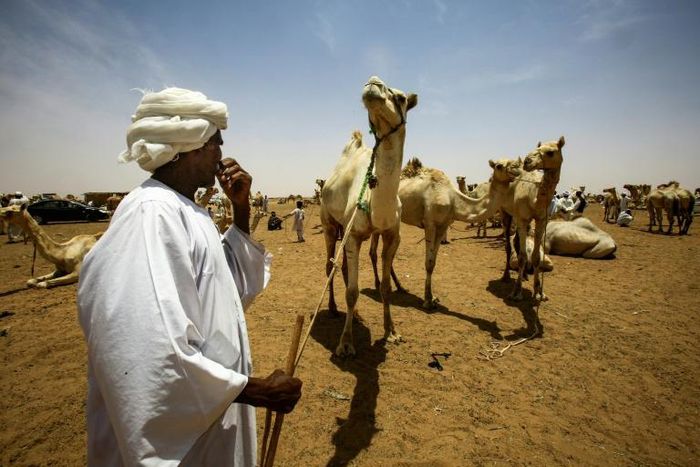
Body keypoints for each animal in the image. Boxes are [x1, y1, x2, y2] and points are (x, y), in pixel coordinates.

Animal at [321, 76, 417, 357]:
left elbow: (385, 287)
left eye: (401, 98)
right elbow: (353, 292)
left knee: (341, 266)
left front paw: (391, 332)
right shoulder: (354, 235)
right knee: (330, 264)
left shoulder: (392, 235)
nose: (373, 83)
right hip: (329, 224)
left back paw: (356, 315)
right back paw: (333, 309)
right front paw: (345, 343)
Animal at [370, 157, 521, 308]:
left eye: (515, 162)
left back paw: (400, 287)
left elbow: (433, 263)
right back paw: (378, 285)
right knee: (374, 252)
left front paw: (432, 298)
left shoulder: (442, 226)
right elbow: (428, 263)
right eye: (499, 166)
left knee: (385, 254)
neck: (453, 199)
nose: (517, 169)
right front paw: (427, 301)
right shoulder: (430, 224)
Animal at [499, 136, 565, 301]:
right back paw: (506, 276)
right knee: (508, 245)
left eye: (550, 152)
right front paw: (516, 293)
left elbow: (535, 257)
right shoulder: (523, 218)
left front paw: (539, 292)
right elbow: (523, 256)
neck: (534, 198)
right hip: (506, 213)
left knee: (516, 242)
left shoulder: (541, 220)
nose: (527, 161)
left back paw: (523, 277)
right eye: (537, 148)